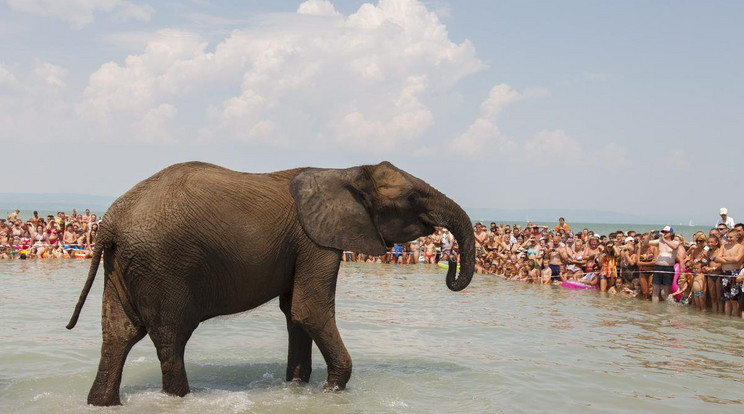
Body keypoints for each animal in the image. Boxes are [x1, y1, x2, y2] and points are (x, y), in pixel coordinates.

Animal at [67, 160, 474, 406]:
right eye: (413, 197)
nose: (450, 262)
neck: (345, 172)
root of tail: (110, 221)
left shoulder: (304, 243)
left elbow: (295, 314)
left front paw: (297, 387)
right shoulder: (315, 241)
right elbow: (310, 310)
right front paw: (331, 390)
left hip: (124, 267)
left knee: (118, 335)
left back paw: (101, 403)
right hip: (162, 267)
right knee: (170, 338)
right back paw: (180, 399)